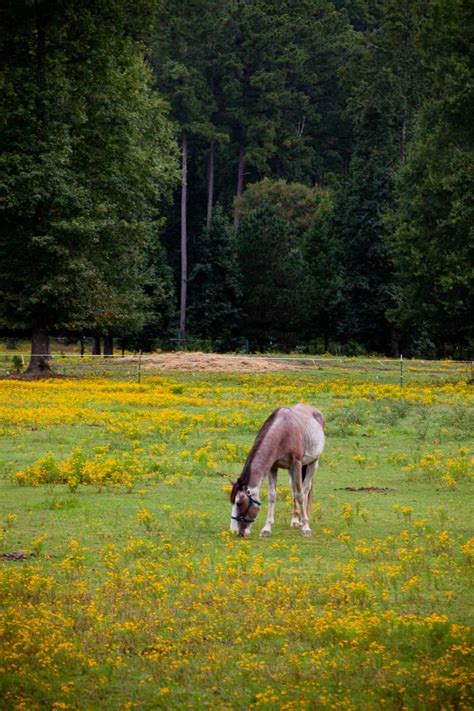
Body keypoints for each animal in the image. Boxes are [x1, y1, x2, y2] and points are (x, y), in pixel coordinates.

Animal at [230, 404, 326, 536]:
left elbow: (300, 495)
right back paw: (295, 520)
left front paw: (306, 527)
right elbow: (272, 496)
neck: (283, 432)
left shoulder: (296, 464)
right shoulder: (273, 467)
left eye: (239, 503)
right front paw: (267, 528)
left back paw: (303, 520)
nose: (235, 531)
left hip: (312, 463)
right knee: (293, 489)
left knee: (305, 489)